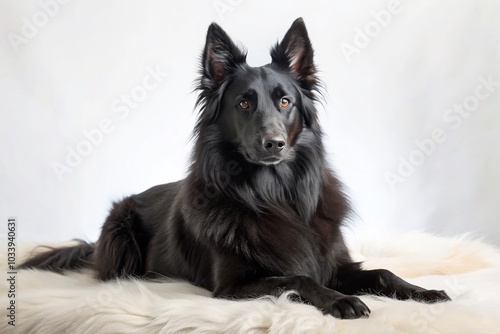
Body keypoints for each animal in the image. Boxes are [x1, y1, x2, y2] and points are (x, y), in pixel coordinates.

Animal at [20, 17, 450, 318]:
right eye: (244, 103)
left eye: (284, 101)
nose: (274, 143)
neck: (273, 193)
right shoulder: (231, 287)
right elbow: (297, 277)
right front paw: (340, 300)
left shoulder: (334, 261)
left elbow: (382, 273)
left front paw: (424, 293)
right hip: (121, 230)